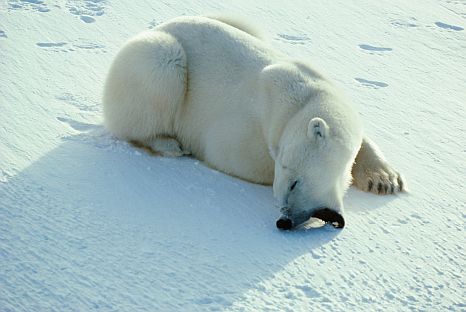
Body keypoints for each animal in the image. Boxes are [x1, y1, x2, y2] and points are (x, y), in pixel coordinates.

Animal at [102, 15, 404, 230]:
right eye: (284, 185)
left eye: (294, 183)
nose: (284, 221)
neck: (303, 98)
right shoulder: (240, 129)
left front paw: (385, 180)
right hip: (158, 60)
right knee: (158, 70)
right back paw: (168, 144)